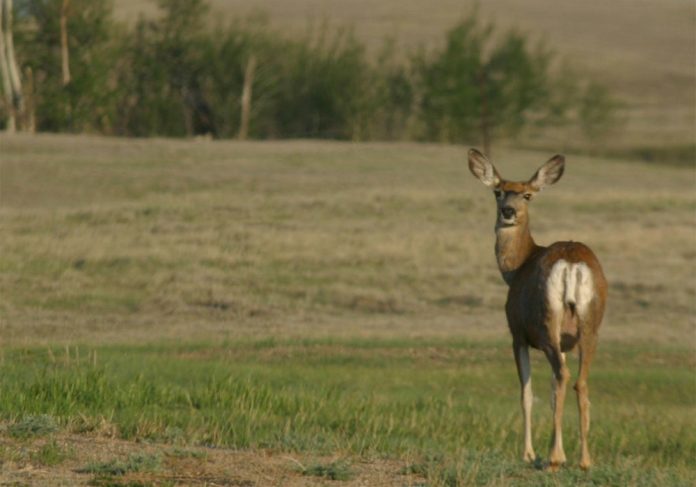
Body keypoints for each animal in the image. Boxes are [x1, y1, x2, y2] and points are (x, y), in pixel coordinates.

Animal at [468, 148, 608, 468]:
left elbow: (526, 393)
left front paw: (528, 453)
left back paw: (554, 458)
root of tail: (571, 264)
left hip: (547, 321)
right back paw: (584, 460)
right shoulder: (566, 342)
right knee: (579, 382)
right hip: (589, 324)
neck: (517, 267)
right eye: (498, 191)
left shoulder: (517, 334)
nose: (508, 211)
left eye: (527, 195)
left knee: (562, 377)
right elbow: (553, 391)